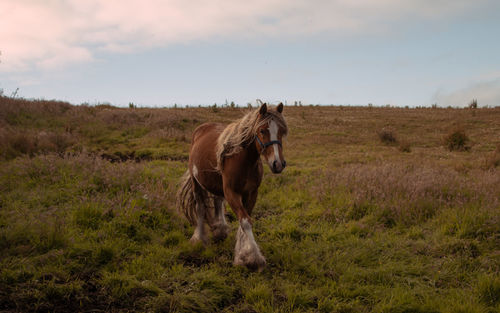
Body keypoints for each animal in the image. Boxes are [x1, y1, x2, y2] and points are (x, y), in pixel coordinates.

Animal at [179, 101, 290, 270]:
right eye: (262, 130)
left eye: (281, 132)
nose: (278, 164)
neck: (244, 161)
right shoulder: (232, 193)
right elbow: (245, 221)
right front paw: (253, 258)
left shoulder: (251, 193)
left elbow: (244, 220)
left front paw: (242, 254)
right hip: (196, 182)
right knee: (200, 208)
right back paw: (199, 239)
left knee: (217, 202)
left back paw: (220, 231)